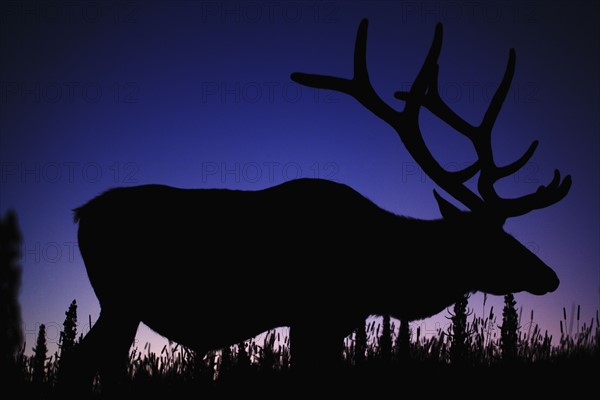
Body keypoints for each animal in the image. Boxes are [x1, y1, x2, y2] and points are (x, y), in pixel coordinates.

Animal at [65, 19, 572, 390]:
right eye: (493, 238)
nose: (550, 275)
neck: (384, 276)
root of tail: (80, 214)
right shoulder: (314, 315)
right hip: (120, 300)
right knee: (84, 360)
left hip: (121, 306)